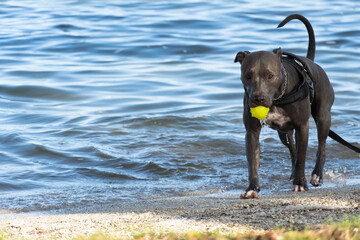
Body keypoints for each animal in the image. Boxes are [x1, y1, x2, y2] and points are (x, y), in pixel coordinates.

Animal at [233, 14, 360, 199]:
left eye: (270, 75)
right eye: (248, 75)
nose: (258, 98)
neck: (277, 98)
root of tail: (310, 62)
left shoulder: (303, 126)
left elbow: (302, 158)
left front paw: (300, 183)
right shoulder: (252, 131)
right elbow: (253, 162)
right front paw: (252, 188)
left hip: (323, 118)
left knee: (321, 147)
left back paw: (316, 175)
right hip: (283, 132)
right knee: (292, 148)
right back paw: (294, 174)